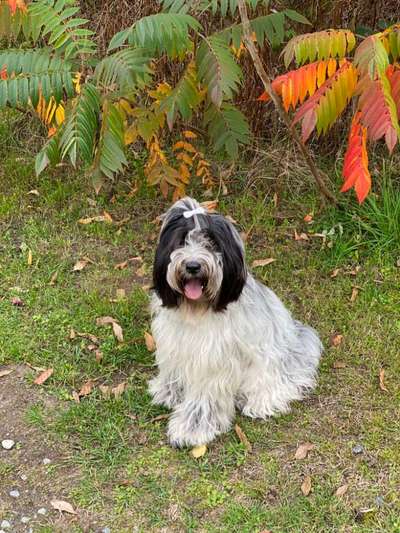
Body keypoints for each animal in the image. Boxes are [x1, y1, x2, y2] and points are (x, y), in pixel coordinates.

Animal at [149, 197, 322, 446]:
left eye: (211, 242)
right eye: (181, 241)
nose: (192, 265)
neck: (198, 310)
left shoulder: (212, 360)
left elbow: (204, 397)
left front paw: (193, 427)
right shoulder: (175, 343)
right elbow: (172, 371)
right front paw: (168, 392)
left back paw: (260, 401)